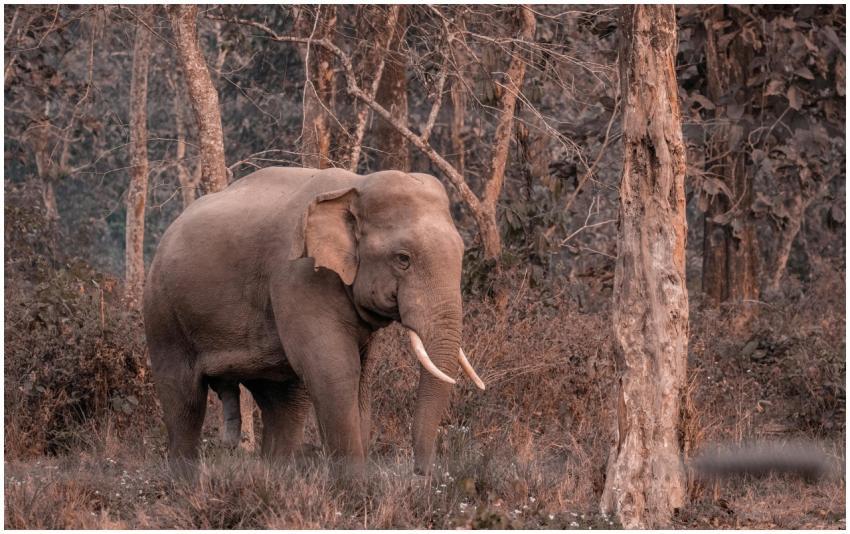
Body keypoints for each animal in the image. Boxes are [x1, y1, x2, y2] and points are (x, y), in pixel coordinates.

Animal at [143, 166, 484, 476]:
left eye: (461, 253)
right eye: (403, 258)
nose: (421, 473)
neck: (354, 186)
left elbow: (360, 377)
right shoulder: (300, 276)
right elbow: (334, 370)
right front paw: (355, 490)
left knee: (284, 404)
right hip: (163, 314)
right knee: (184, 400)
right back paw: (184, 486)